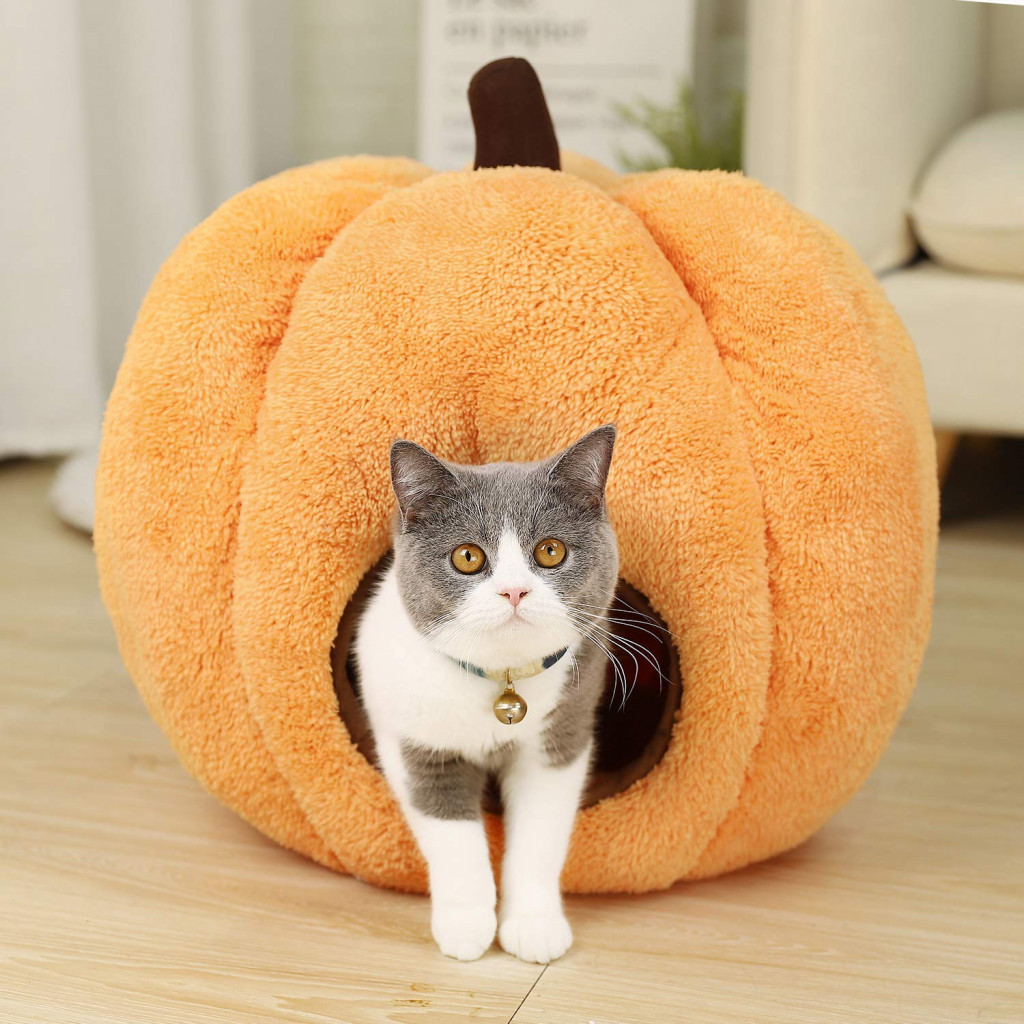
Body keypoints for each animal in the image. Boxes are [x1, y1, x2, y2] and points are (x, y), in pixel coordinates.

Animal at [354, 428, 614, 962]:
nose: (513, 592)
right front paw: (467, 928)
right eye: (468, 557)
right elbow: (452, 836)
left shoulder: (560, 737)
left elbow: (539, 835)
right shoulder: (418, 742)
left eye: (551, 551)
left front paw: (534, 927)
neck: (501, 680)